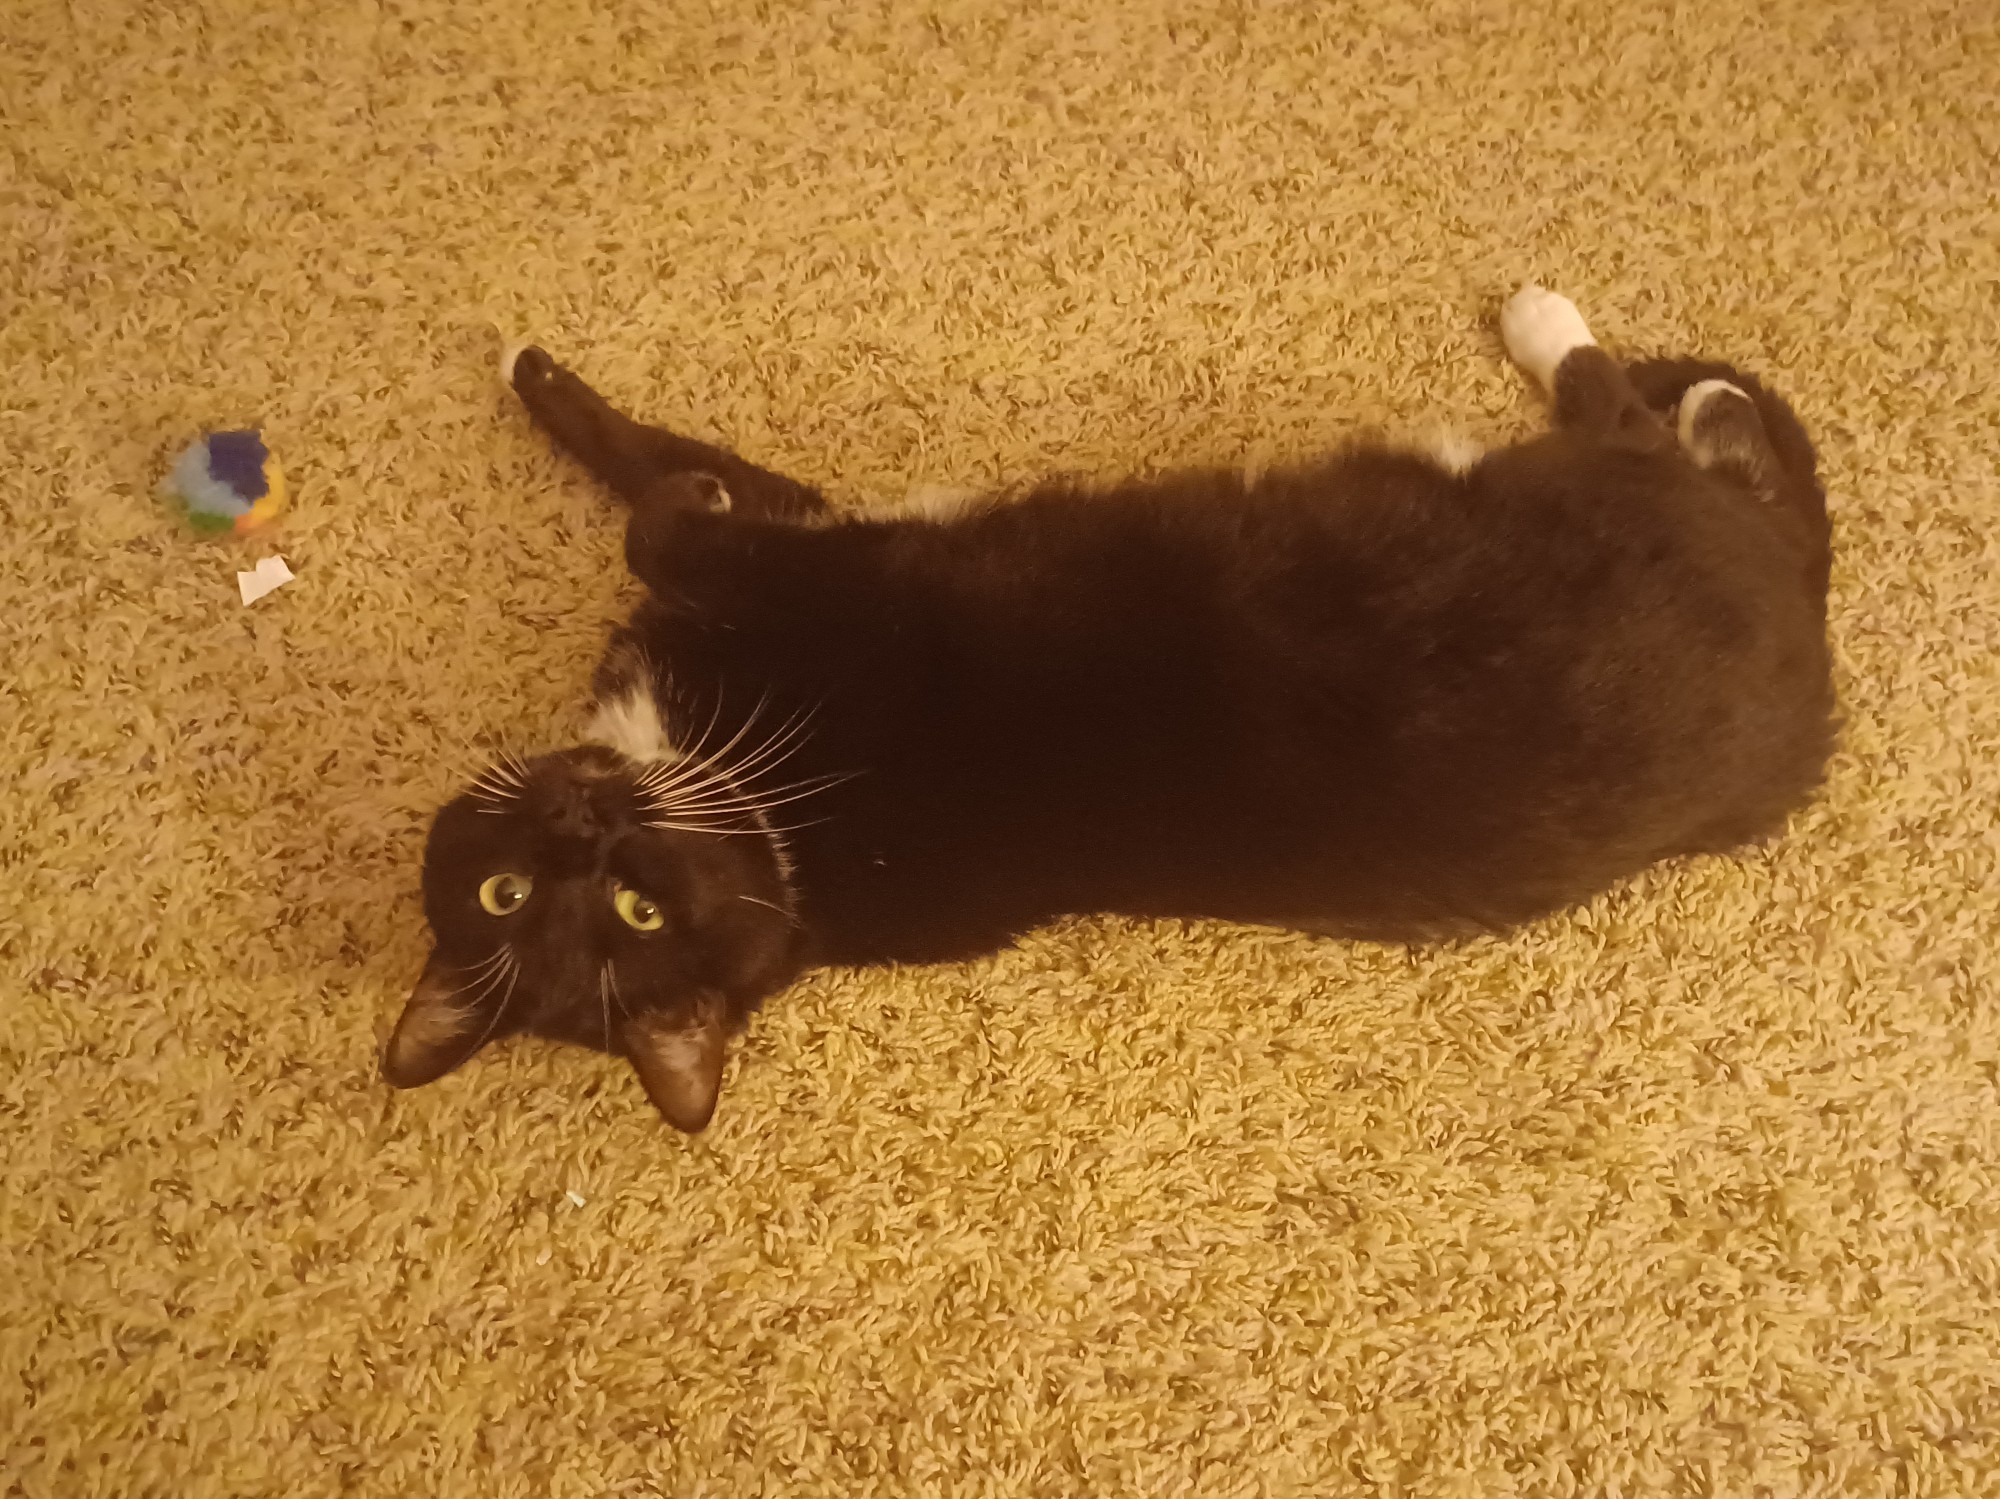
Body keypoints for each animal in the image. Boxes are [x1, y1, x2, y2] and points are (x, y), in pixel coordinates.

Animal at [376, 287, 1832, 1135]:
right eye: (529, 898)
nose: (582, 819)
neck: (780, 847)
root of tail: (1804, 686)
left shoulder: (801, 560)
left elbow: (650, 491)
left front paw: (536, 374)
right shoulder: (816, 563)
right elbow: (667, 507)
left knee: (1661, 422)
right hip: (1598, 501)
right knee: (1641, 417)